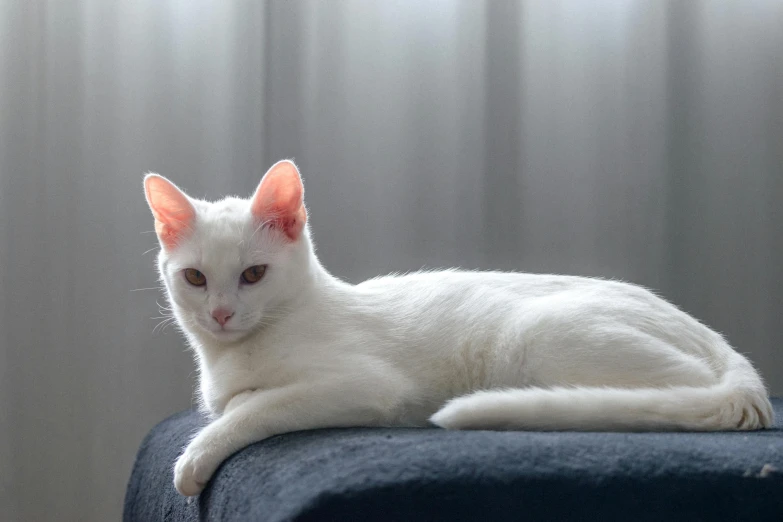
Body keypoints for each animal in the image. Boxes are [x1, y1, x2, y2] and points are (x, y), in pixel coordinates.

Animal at [144, 159, 776, 496]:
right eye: (196, 278)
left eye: (253, 274)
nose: (221, 313)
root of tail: (722, 347)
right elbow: (235, 402)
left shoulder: (363, 386)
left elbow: (254, 409)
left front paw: (195, 459)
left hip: (538, 334)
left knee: (676, 391)